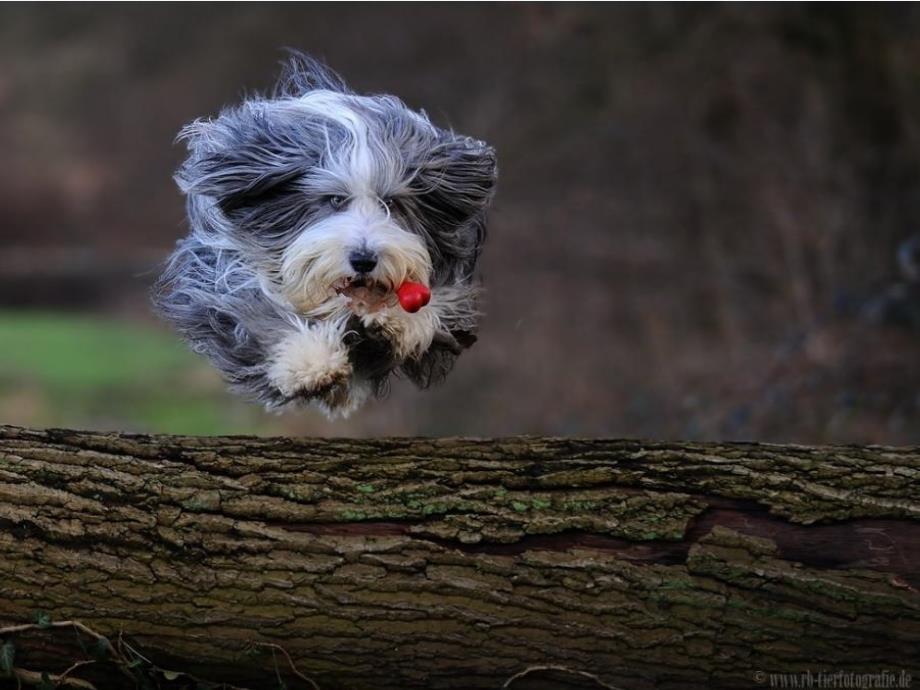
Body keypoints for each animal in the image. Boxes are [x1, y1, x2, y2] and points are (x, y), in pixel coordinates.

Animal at [153, 52, 496, 414]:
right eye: (334, 199)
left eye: (391, 202)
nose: (364, 260)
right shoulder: (223, 273)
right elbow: (255, 310)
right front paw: (310, 362)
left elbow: (432, 307)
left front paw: (396, 321)